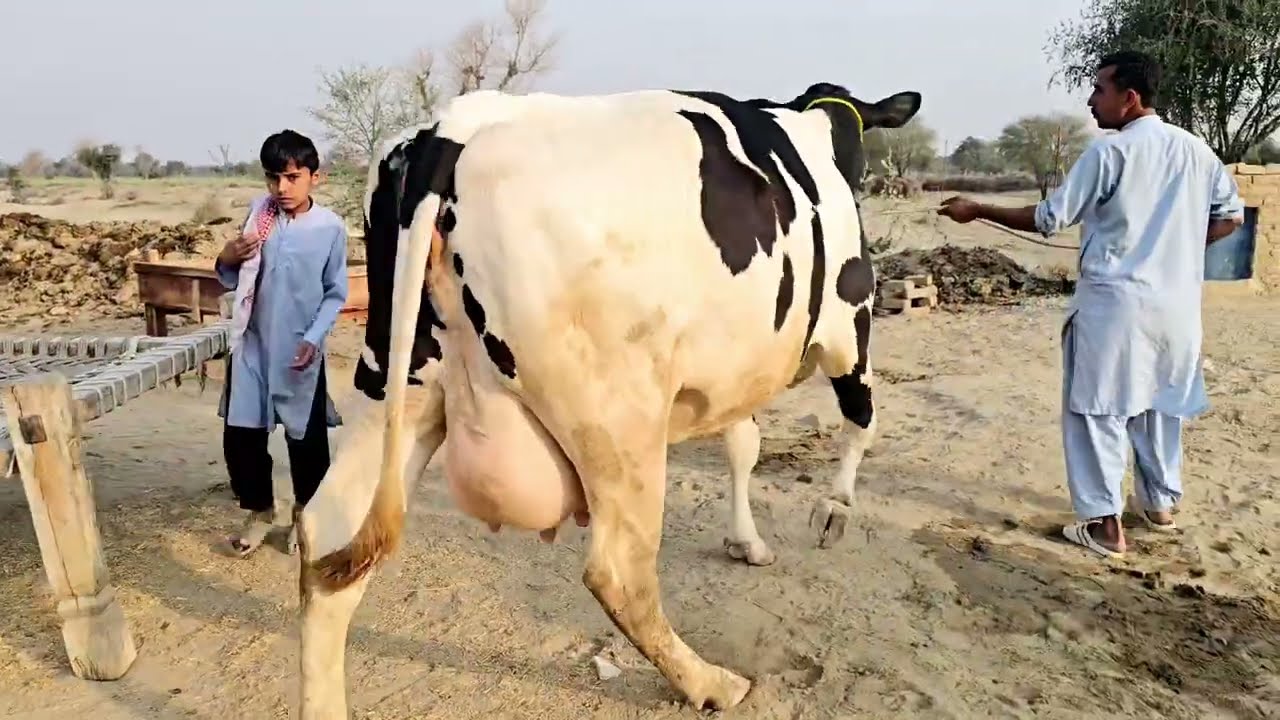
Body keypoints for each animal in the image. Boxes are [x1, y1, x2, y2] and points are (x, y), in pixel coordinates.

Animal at [294, 83, 921, 718]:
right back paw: (710, 682)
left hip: (396, 383)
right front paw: (834, 510)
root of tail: (454, 127)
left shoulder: (737, 365)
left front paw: (747, 541)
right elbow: (862, 420)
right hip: (619, 421)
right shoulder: (849, 325)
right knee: (618, 572)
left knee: (329, 540)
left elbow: (743, 444)